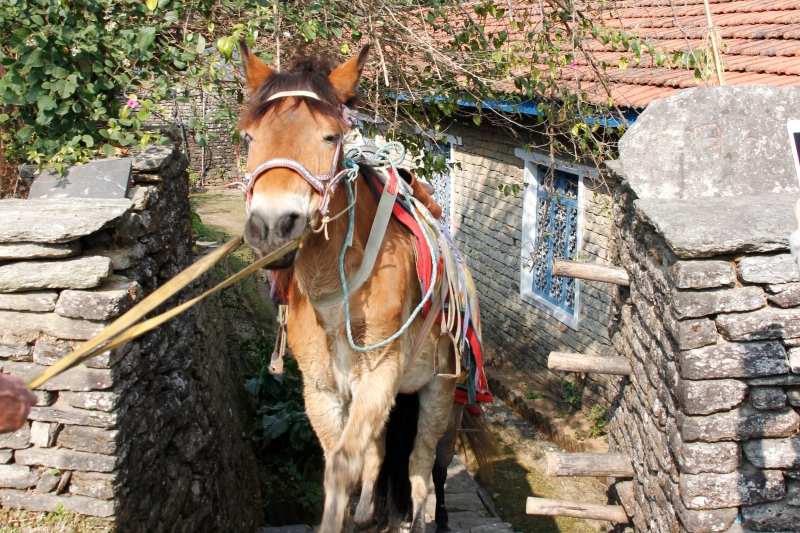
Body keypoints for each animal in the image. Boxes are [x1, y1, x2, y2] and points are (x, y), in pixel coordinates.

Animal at [238, 43, 488, 528]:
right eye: (250, 137)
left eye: (330, 137)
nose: (272, 227)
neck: (337, 295)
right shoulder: (321, 390)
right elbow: (347, 459)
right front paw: (357, 515)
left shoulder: (380, 376)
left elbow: (345, 465)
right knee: (384, 455)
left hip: (441, 393)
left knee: (423, 465)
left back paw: (427, 518)